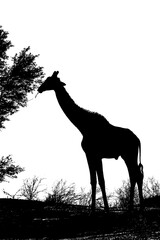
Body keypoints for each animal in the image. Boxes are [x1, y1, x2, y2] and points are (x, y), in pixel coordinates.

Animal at [37, 71, 144, 212]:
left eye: (49, 80)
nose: (39, 89)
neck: (83, 126)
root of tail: (138, 139)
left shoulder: (95, 154)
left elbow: (101, 181)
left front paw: (105, 210)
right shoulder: (89, 155)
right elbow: (93, 181)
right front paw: (93, 210)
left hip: (129, 155)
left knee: (135, 175)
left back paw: (134, 208)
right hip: (127, 156)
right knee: (135, 175)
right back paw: (135, 208)